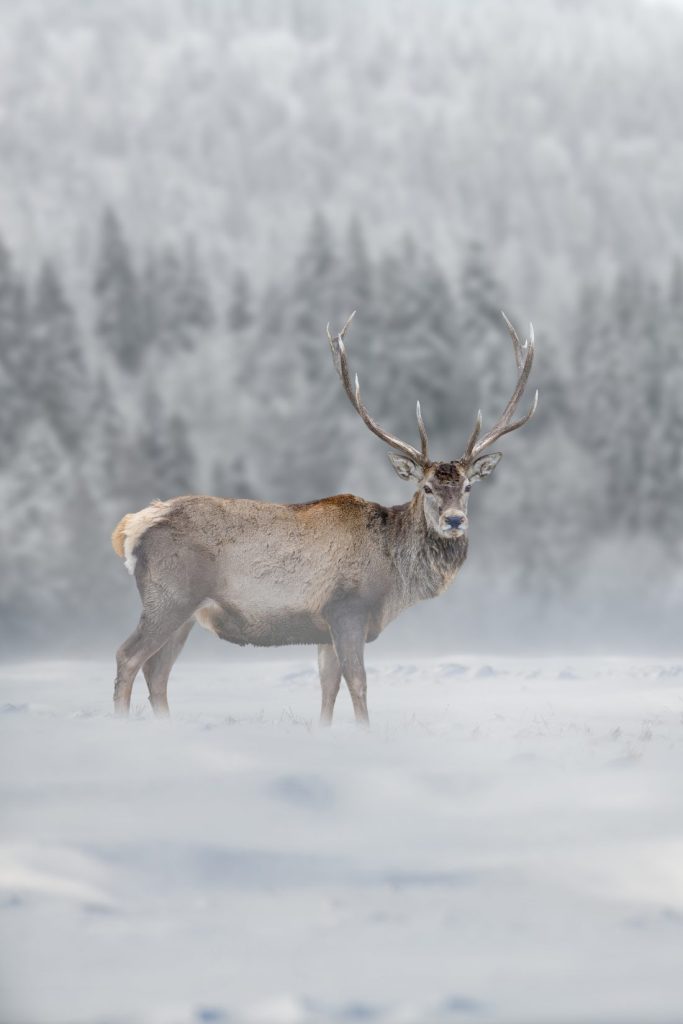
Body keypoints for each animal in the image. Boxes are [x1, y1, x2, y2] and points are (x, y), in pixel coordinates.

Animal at [111, 312, 537, 724]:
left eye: (468, 487)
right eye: (427, 488)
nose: (454, 521)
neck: (394, 578)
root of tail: (131, 527)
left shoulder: (323, 628)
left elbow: (327, 688)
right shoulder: (347, 608)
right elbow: (358, 684)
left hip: (184, 612)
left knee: (157, 672)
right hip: (171, 595)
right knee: (128, 656)